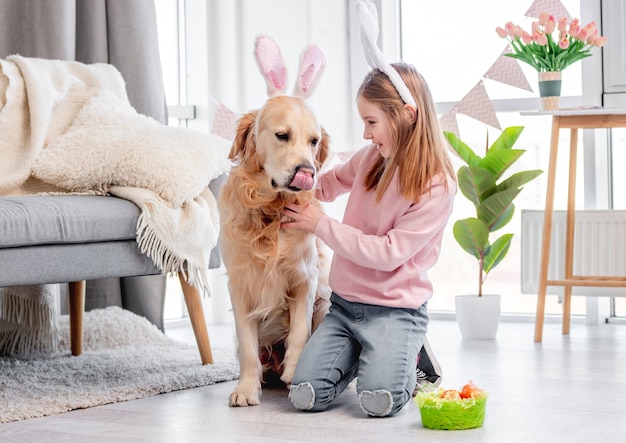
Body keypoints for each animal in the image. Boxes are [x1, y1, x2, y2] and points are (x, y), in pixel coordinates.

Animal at [217, 36, 330, 408]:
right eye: (283, 135)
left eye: (314, 141)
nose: (307, 172)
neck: (270, 210)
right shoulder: (240, 286)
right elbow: (248, 348)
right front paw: (246, 389)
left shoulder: (305, 279)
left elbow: (299, 333)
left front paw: (295, 372)